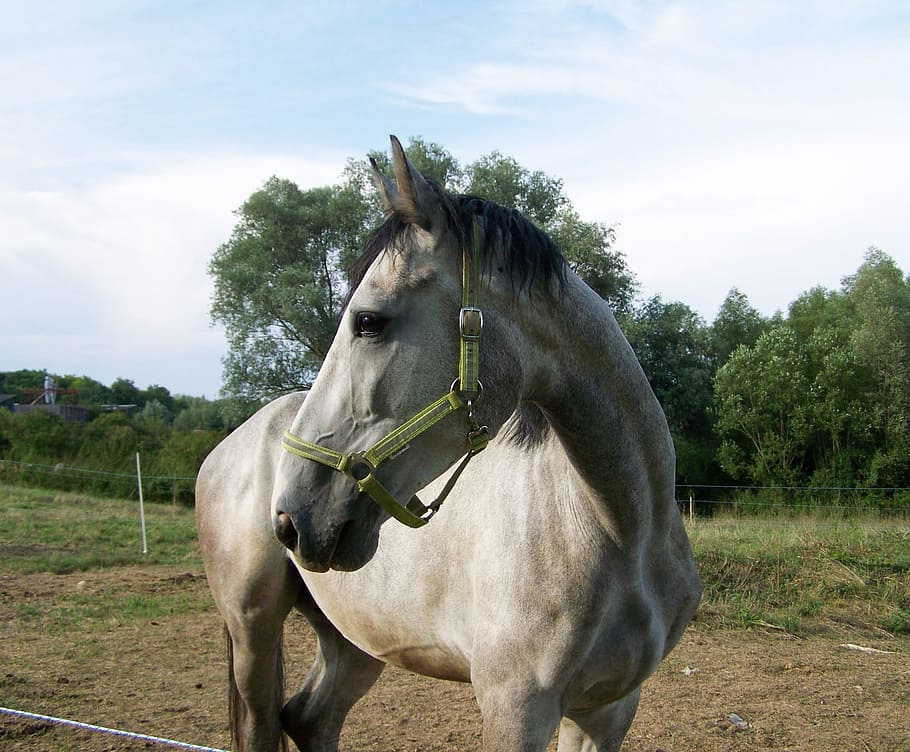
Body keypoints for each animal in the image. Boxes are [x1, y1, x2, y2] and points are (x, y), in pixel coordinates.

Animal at [196, 135, 701, 752]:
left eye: (369, 321)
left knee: (311, 718)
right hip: (253, 629)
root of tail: (233, 442)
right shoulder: (516, 711)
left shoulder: (608, 709)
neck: (616, 530)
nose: (291, 516)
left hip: (356, 641)